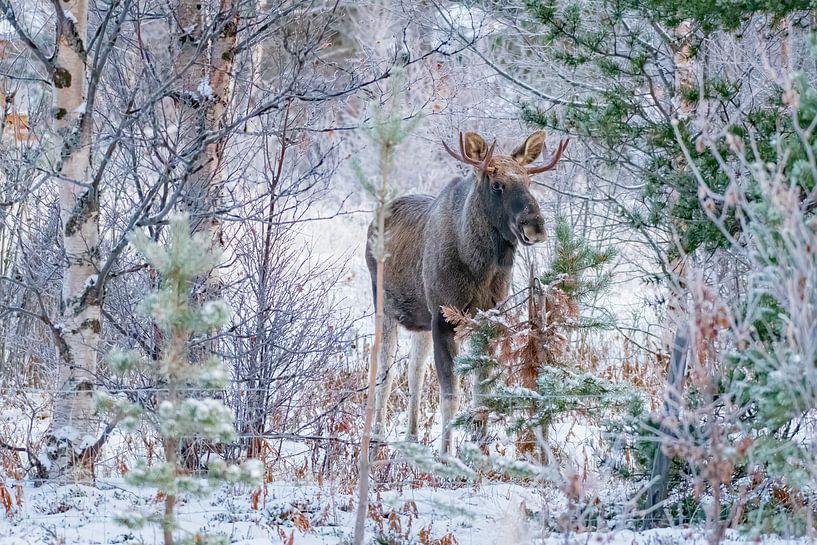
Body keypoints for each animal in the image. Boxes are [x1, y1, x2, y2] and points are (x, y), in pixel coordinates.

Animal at [365, 130, 568, 454]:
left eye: (528, 181)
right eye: (497, 185)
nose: (535, 226)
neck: (480, 268)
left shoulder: (487, 317)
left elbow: (480, 390)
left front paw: (480, 447)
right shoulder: (444, 317)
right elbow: (451, 393)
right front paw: (446, 453)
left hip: (420, 320)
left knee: (414, 371)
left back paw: (411, 437)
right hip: (384, 304)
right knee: (386, 370)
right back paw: (377, 437)